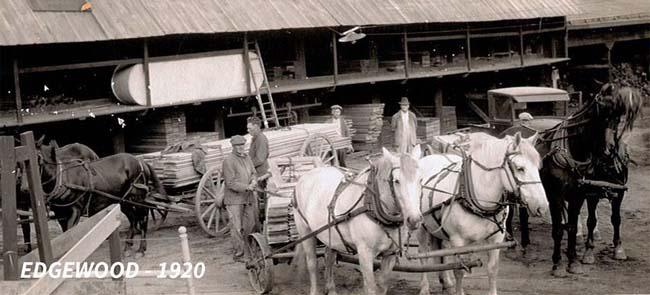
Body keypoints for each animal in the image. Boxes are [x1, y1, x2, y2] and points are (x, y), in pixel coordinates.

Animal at [38, 143, 167, 256]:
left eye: (38, 160)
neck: (63, 179)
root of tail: (141, 162)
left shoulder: (76, 210)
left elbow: (70, 234)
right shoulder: (61, 214)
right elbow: (65, 236)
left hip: (137, 199)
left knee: (143, 218)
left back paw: (141, 248)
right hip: (124, 201)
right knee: (133, 219)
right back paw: (128, 246)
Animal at [292, 148, 420, 295]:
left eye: (420, 179)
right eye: (397, 181)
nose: (414, 219)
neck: (372, 206)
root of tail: (309, 173)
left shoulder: (390, 254)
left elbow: (382, 285)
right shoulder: (365, 253)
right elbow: (371, 288)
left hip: (330, 234)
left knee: (329, 257)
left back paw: (331, 289)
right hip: (305, 231)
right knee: (312, 263)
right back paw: (314, 289)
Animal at [416, 134, 548, 295]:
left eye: (538, 167)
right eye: (520, 168)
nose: (543, 207)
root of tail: (427, 157)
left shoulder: (496, 239)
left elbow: (492, 270)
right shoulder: (458, 241)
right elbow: (459, 271)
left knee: (440, 251)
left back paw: (446, 282)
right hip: (420, 226)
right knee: (423, 254)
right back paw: (424, 287)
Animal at [498, 84, 640, 278]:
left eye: (618, 118)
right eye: (600, 114)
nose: (609, 151)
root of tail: (508, 130)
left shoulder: (579, 195)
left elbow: (574, 226)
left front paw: (573, 262)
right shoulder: (556, 196)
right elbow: (559, 229)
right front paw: (557, 264)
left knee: (524, 212)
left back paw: (526, 245)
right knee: (510, 212)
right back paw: (511, 242)